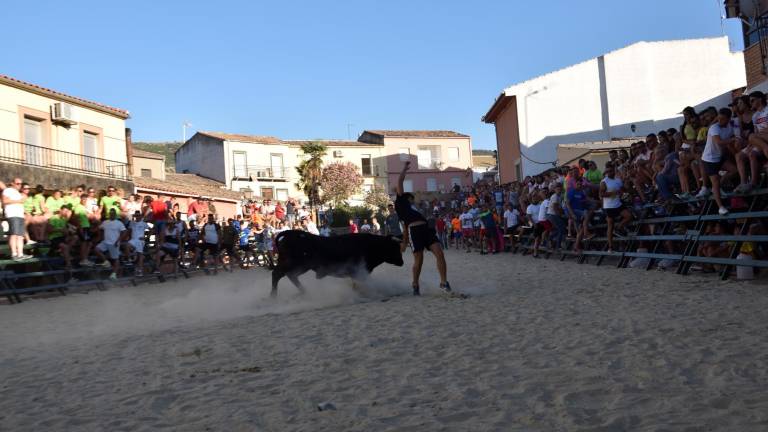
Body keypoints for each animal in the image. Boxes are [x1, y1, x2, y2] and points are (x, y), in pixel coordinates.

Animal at [272, 230, 404, 296]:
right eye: (394, 247)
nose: (402, 262)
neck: (373, 245)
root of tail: (290, 233)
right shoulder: (359, 272)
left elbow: (355, 285)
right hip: (295, 264)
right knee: (277, 274)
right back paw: (273, 296)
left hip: (299, 267)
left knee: (290, 275)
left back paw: (304, 292)